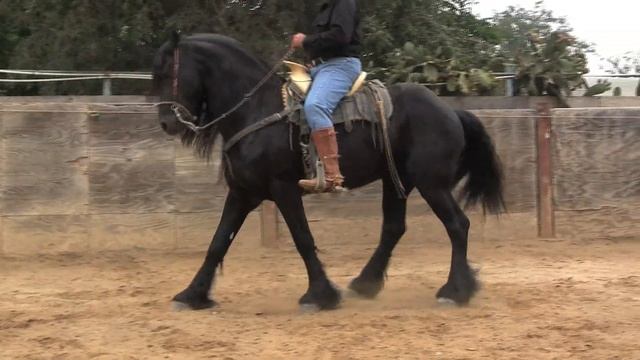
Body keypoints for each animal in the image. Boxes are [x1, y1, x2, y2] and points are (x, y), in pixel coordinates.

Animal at [152, 32, 502, 310]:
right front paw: (192, 295)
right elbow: (218, 242)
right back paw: (365, 283)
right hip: (396, 180)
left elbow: (303, 239)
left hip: (432, 184)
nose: (167, 123)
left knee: (457, 225)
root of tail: (451, 111)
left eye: (169, 72)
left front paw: (320, 295)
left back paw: (455, 291)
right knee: (393, 228)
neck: (257, 111)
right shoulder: (242, 193)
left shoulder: (284, 188)